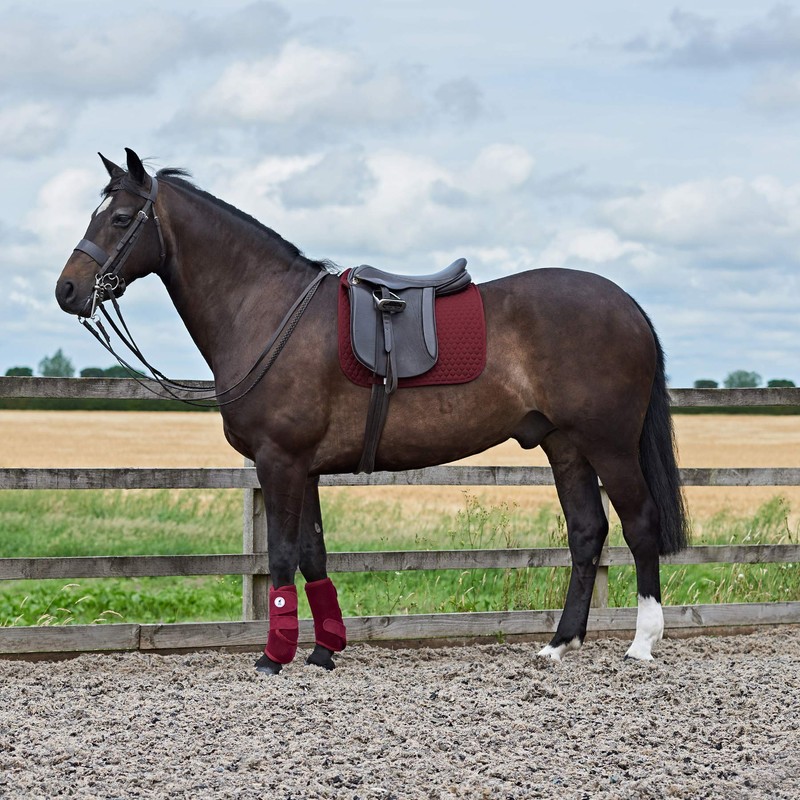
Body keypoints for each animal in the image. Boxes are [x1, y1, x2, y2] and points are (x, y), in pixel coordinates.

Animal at [55, 148, 689, 674]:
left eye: (119, 219)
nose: (67, 291)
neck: (266, 308)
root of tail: (626, 305)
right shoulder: (304, 468)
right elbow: (313, 556)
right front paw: (322, 650)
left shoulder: (280, 462)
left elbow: (281, 556)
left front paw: (274, 656)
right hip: (565, 444)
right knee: (587, 531)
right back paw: (559, 644)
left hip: (609, 443)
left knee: (639, 523)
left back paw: (642, 643)